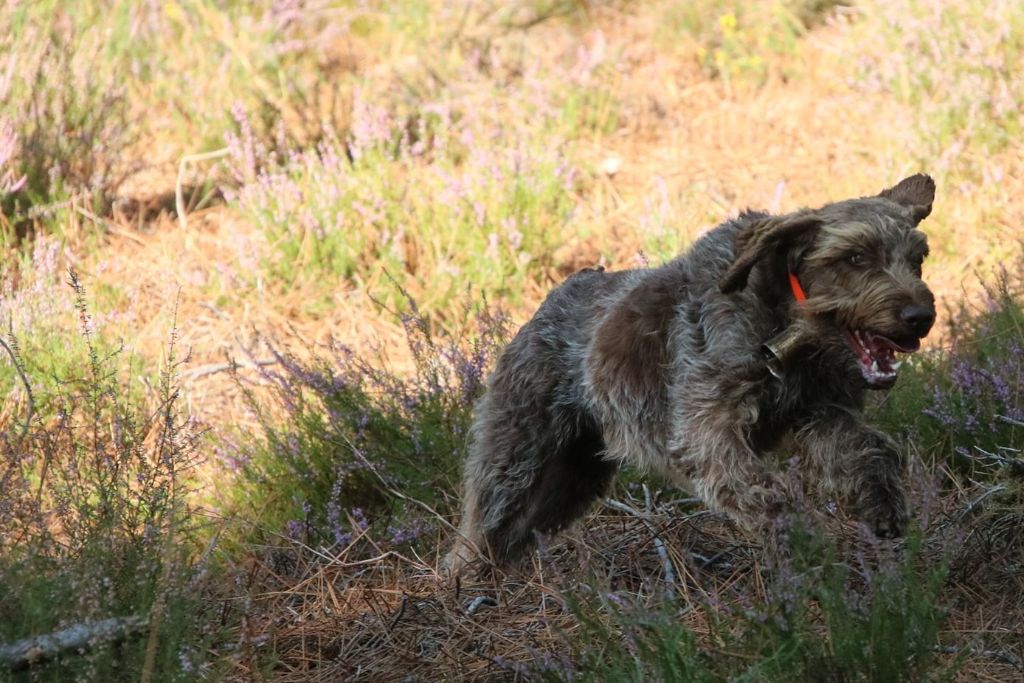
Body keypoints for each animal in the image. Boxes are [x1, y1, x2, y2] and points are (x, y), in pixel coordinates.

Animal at [446, 175, 937, 573]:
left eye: (918, 258)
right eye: (854, 258)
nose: (921, 317)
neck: (785, 319)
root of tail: (559, 293)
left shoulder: (822, 413)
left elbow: (868, 450)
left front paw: (881, 503)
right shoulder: (707, 431)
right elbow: (766, 493)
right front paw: (801, 542)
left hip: (571, 475)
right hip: (515, 461)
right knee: (477, 533)